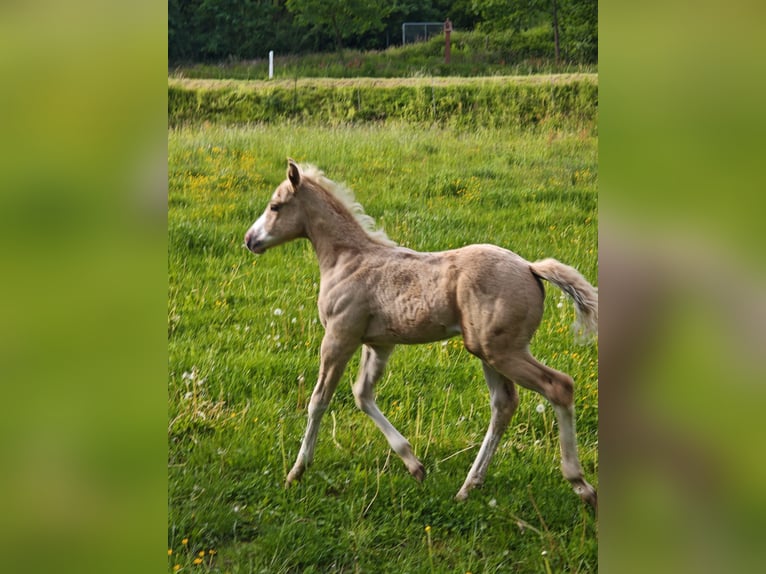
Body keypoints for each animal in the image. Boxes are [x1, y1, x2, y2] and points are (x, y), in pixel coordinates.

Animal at [244, 159, 598, 509]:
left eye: (275, 206)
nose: (250, 239)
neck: (347, 259)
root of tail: (530, 267)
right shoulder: (378, 344)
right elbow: (362, 394)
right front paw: (414, 465)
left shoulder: (339, 336)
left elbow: (318, 400)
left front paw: (296, 472)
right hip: (487, 351)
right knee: (504, 404)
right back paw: (468, 486)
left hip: (503, 351)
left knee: (559, 386)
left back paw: (581, 485)